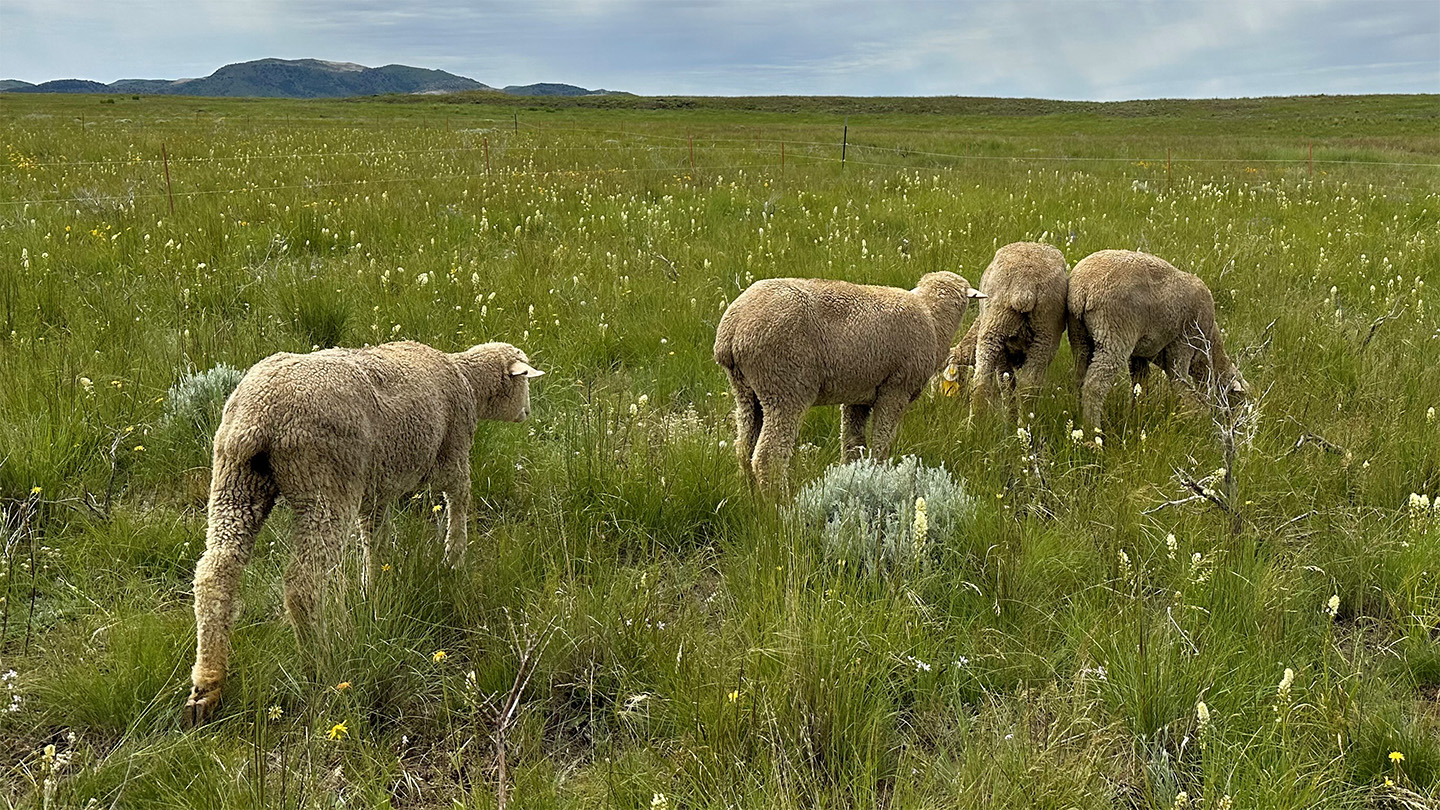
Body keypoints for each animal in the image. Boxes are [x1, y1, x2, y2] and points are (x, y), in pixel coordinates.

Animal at [180, 337, 541, 720]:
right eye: (524, 382)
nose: (527, 412)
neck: (466, 380)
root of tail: (260, 417)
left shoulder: (376, 489)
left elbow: (375, 540)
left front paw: (375, 588)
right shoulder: (453, 455)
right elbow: (458, 503)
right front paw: (454, 559)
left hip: (235, 480)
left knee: (215, 572)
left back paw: (207, 685)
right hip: (325, 485)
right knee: (302, 583)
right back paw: (319, 665)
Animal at [714, 270, 984, 490]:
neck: (933, 320)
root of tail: (733, 329)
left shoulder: (859, 395)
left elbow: (853, 445)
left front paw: (854, 475)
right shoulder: (896, 390)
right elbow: (881, 444)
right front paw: (879, 476)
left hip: (747, 392)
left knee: (744, 449)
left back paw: (753, 500)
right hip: (785, 387)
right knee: (768, 458)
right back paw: (779, 507)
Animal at [944, 239, 1071, 417]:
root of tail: (1025, 286)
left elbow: (1006, 386)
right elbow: (1009, 385)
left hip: (999, 329)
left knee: (983, 381)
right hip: (1042, 332)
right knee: (1023, 385)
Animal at [1065, 249, 1244, 429]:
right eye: (1238, 400)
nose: (1234, 425)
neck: (1209, 350)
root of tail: (1084, 288)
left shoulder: (1139, 355)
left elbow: (1141, 383)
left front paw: (1136, 415)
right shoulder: (1184, 342)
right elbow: (1180, 383)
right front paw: (1196, 417)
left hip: (1079, 335)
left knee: (1079, 376)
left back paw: (1077, 412)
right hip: (1114, 335)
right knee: (1095, 386)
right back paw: (1093, 429)